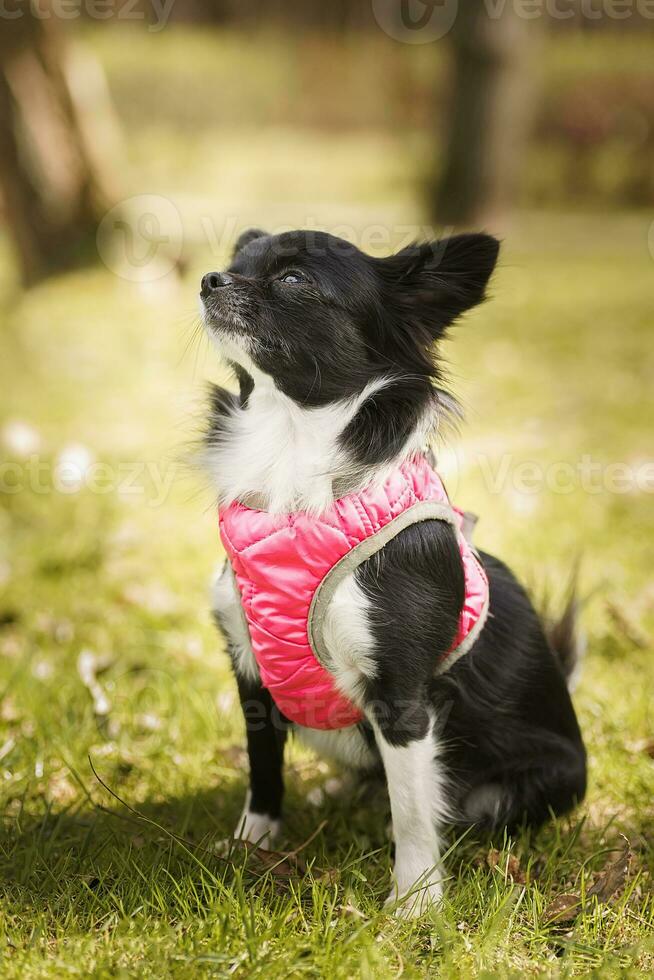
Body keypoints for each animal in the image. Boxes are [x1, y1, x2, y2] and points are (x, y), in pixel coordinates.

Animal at [200, 230, 588, 920]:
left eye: (294, 279)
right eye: (236, 265)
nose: (209, 279)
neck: (289, 449)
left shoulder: (402, 698)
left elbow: (412, 809)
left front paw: (413, 904)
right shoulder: (251, 673)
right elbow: (262, 769)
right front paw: (251, 844)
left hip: (523, 784)